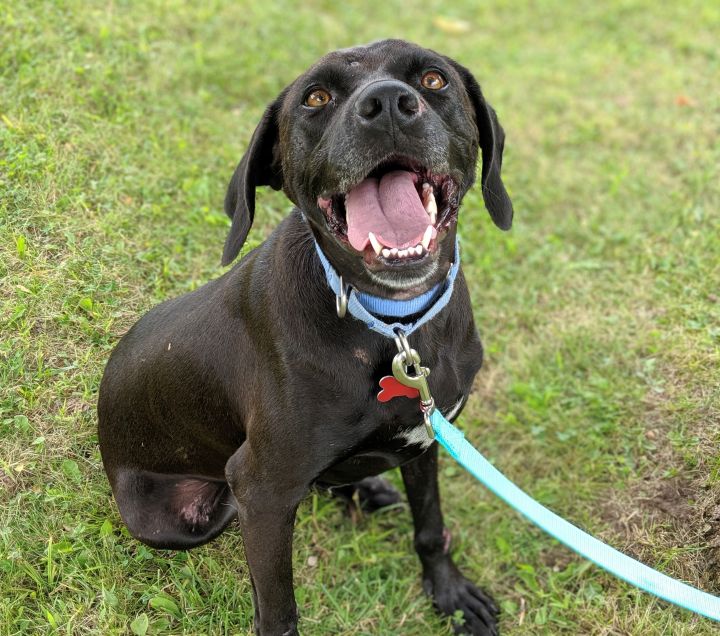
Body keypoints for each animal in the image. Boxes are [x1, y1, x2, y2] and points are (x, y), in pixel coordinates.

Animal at [98, 41, 512, 636]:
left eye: (434, 79)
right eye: (316, 97)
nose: (388, 105)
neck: (394, 324)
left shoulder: (427, 439)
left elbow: (431, 527)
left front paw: (450, 593)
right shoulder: (262, 493)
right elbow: (278, 610)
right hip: (182, 517)